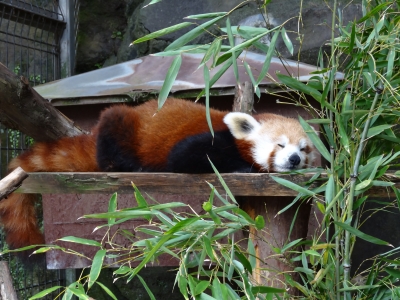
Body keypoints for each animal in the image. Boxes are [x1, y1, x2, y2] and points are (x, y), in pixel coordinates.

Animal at [1, 98, 318, 251]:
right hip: (122, 124)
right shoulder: (206, 140)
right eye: (280, 145)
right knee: (113, 126)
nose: (294, 159)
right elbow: (187, 158)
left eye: (304, 149)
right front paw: (244, 167)